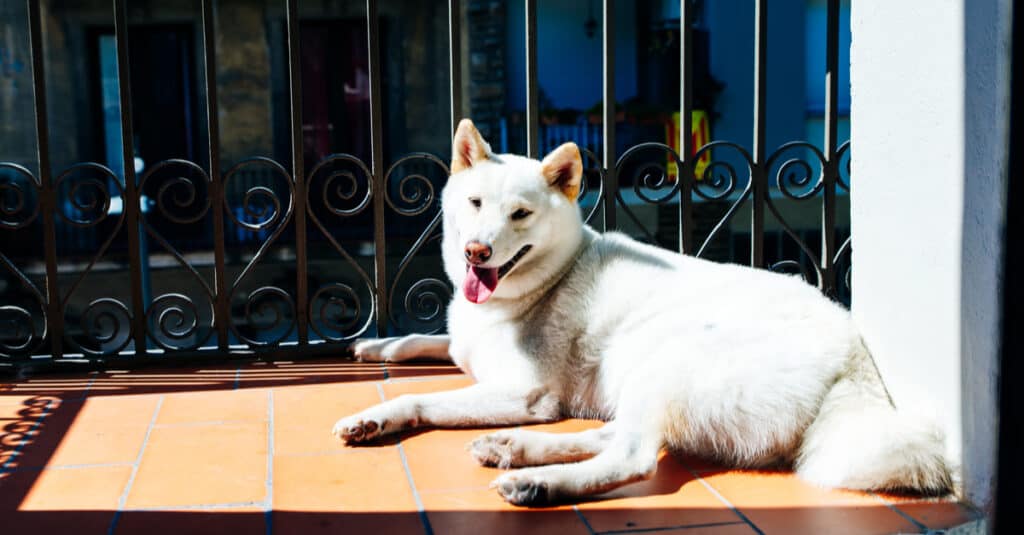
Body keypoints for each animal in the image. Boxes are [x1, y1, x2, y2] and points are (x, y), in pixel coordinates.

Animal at [329, 117, 950, 504]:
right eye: (475, 203)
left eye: (521, 214)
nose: (476, 252)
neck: (548, 278)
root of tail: (854, 355)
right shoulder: (463, 343)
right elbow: (424, 340)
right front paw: (374, 345)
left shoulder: (526, 394)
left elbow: (422, 398)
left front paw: (375, 416)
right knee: (619, 435)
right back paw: (516, 450)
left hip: (665, 356)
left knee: (633, 456)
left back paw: (538, 483)